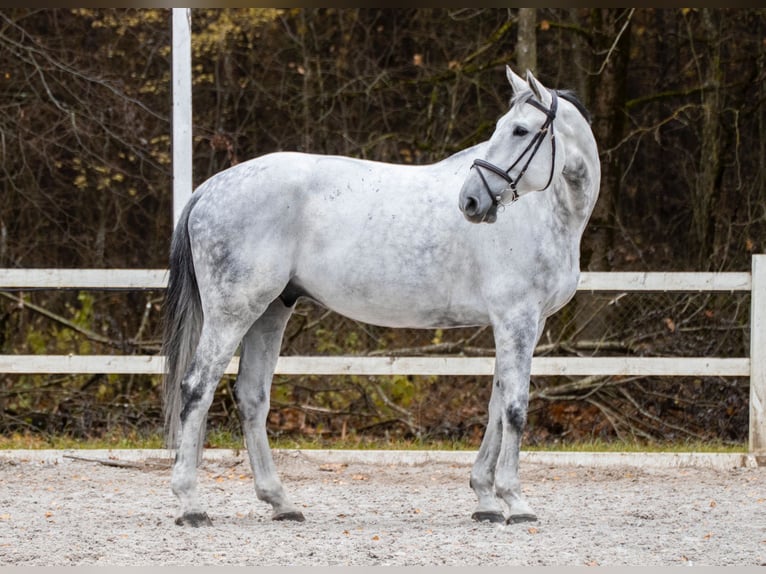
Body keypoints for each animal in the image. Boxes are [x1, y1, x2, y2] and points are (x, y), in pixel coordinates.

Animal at [165, 66, 604, 528]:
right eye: (503, 128)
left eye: (519, 130)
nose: (470, 200)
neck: (544, 214)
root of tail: (209, 188)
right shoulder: (515, 318)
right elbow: (515, 408)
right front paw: (514, 501)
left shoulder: (525, 323)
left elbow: (496, 405)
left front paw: (485, 498)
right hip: (232, 313)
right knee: (196, 389)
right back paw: (191, 504)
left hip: (270, 311)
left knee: (251, 397)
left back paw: (281, 502)